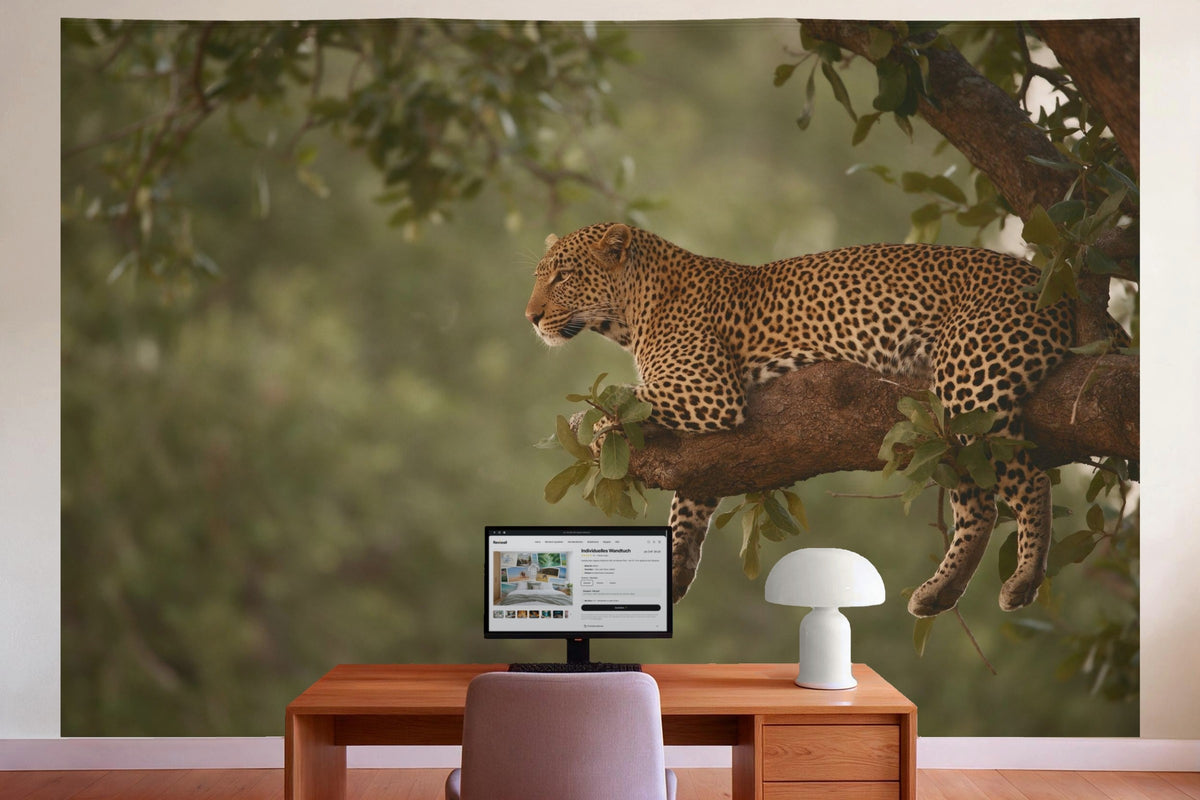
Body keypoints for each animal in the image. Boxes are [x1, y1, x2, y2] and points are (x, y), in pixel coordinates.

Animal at [525, 221, 1087, 617]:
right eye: (541, 275)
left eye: (563, 276)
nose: (531, 317)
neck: (631, 313)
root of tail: (1051, 282)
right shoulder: (706, 446)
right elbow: (690, 497)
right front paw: (676, 568)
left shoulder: (708, 389)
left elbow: (610, 406)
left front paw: (585, 426)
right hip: (948, 418)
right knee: (981, 504)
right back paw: (939, 592)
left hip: (972, 384)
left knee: (1029, 480)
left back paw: (1024, 579)